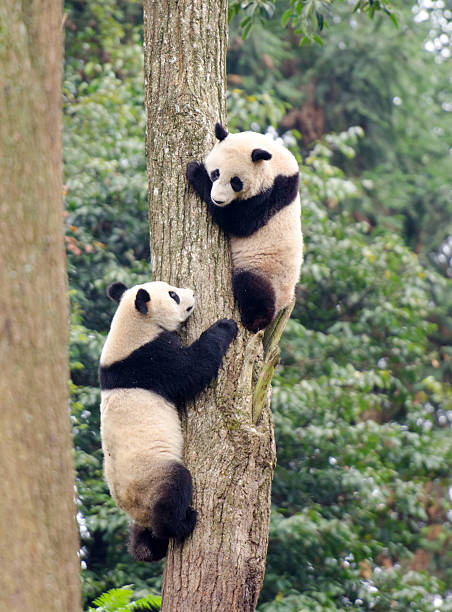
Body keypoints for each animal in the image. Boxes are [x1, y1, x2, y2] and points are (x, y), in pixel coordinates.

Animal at [98, 280, 237, 560]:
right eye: (173, 295)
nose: (192, 292)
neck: (133, 323)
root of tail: (134, 507)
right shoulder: (150, 360)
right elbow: (193, 370)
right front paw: (225, 326)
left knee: (141, 541)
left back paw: (148, 547)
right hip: (152, 475)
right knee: (175, 489)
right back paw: (181, 524)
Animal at [187, 122, 304, 332]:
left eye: (236, 182)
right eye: (216, 173)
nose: (217, 200)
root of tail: (285, 302)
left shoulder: (270, 195)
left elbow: (238, 222)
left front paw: (195, 171)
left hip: (267, 271)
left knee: (251, 286)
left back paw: (255, 320)